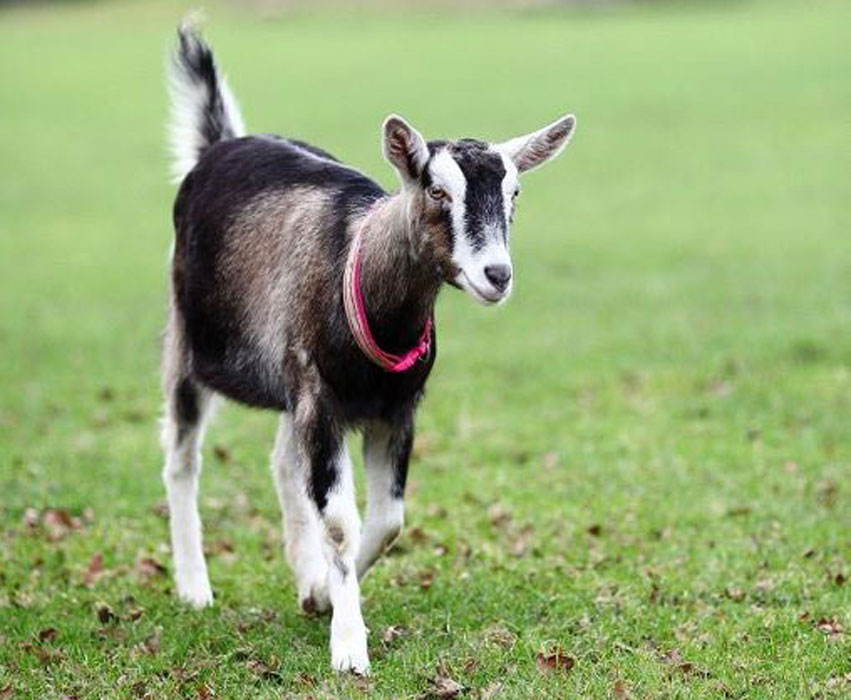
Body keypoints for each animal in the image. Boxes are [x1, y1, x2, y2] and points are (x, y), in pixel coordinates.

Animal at [161, 22, 576, 674]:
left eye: (515, 194)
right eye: (436, 191)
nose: (497, 275)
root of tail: (219, 145)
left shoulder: (392, 409)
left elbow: (386, 521)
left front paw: (321, 594)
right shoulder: (322, 399)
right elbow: (340, 523)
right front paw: (349, 647)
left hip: (291, 382)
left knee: (283, 462)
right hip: (188, 342)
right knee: (182, 458)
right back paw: (194, 587)